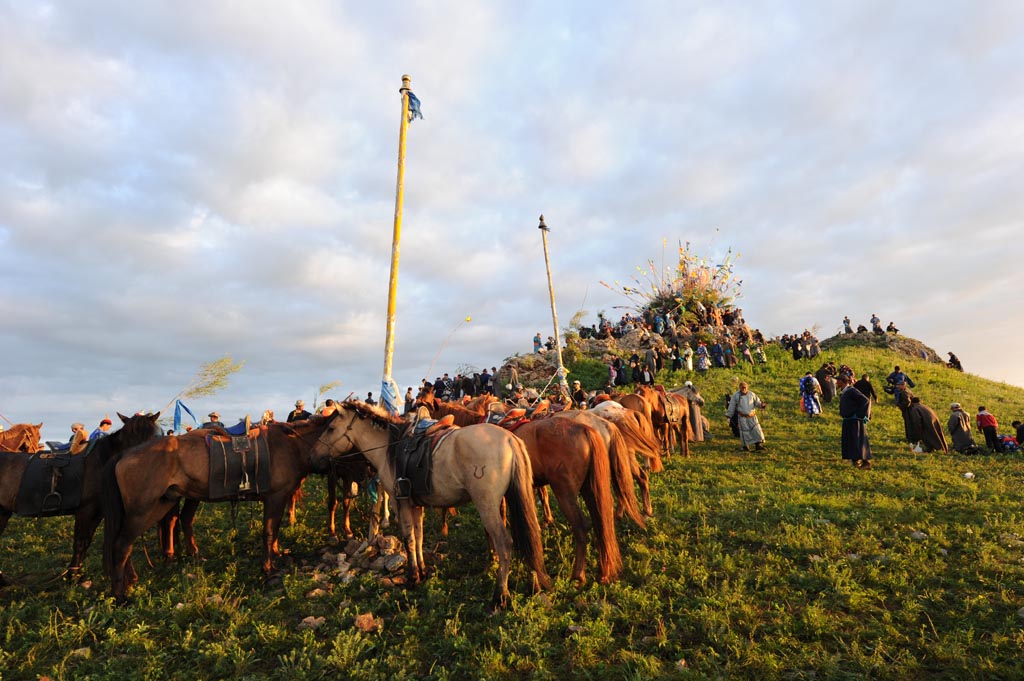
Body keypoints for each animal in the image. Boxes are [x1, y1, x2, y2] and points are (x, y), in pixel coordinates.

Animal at [0, 411, 160, 585]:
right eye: (131, 436)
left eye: (153, 436)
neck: (99, 462)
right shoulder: (85, 511)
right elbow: (80, 542)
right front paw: (73, 576)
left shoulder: (97, 513)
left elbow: (86, 542)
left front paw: (76, 573)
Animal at [100, 413, 331, 602]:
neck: (291, 444)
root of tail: (124, 455)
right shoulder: (275, 497)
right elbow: (268, 531)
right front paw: (268, 568)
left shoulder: (279, 500)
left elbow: (274, 531)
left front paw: (276, 553)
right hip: (142, 512)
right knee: (121, 545)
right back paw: (120, 594)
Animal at [309, 401, 552, 606]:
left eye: (331, 429)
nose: (315, 458)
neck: (388, 447)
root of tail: (510, 438)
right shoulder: (416, 505)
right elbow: (419, 536)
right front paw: (423, 571)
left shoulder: (400, 503)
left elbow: (408, 537)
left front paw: (412, 577)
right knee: (530, 534)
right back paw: (535, 584)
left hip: (488, 505)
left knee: (505, 543)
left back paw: (499, 596)